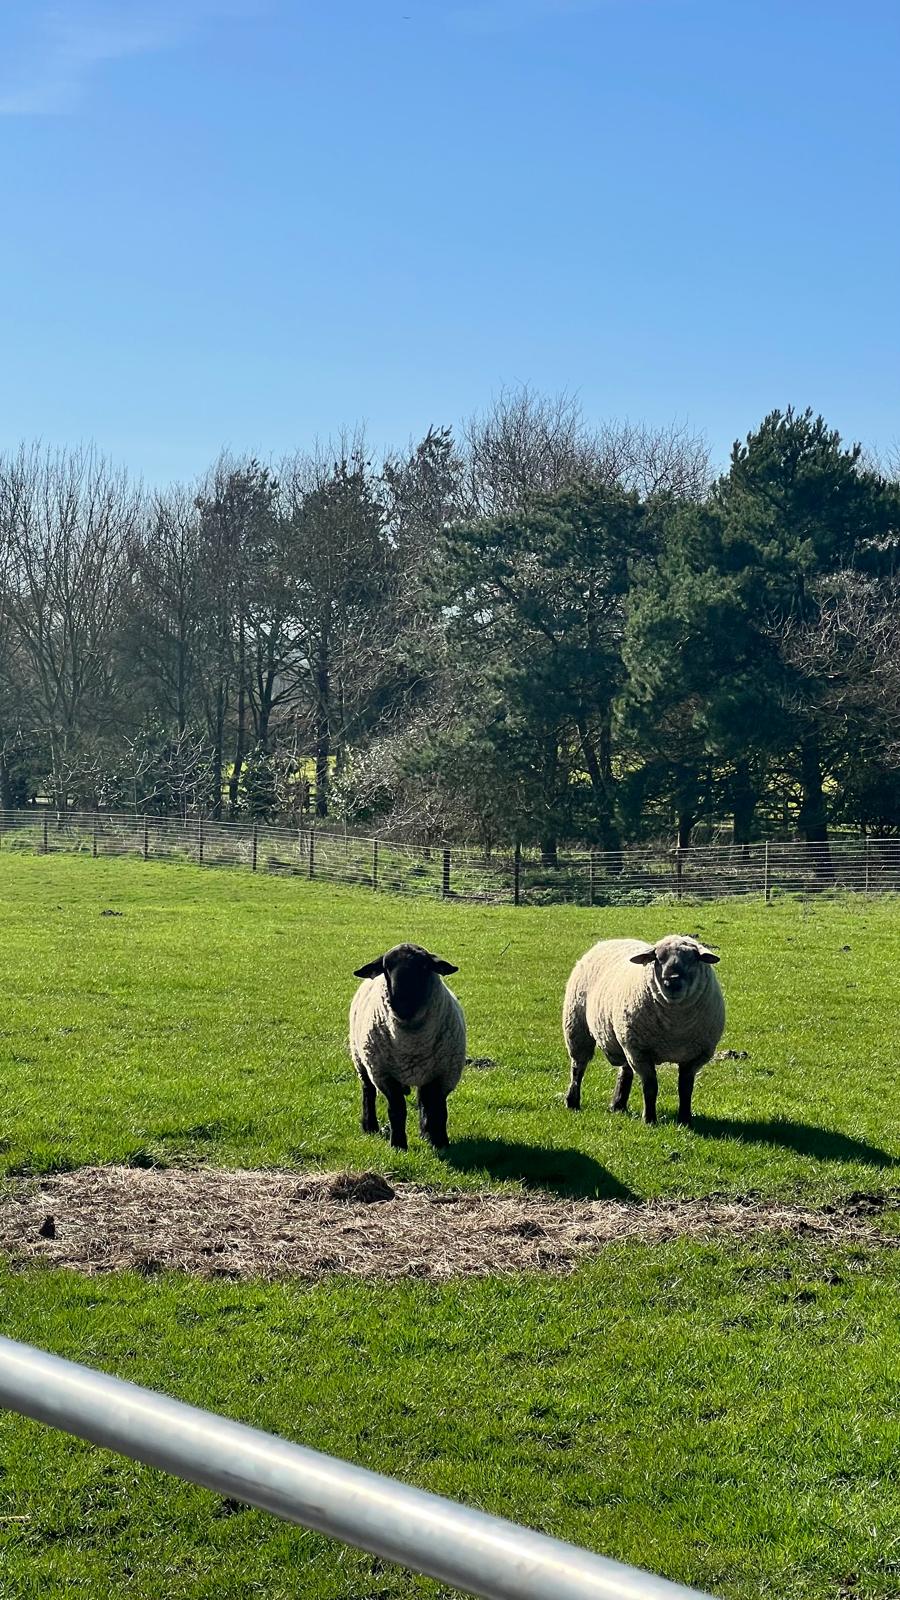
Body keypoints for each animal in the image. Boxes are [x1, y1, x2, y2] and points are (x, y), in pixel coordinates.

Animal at [349, 942, 466, 1150]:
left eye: (424, 966)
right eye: (386, 968)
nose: (401, 1001)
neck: (412, 1044)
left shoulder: (443, 1074)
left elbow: (438, 1110)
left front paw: (439, 1142)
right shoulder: (384, 1075)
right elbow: (397, 1110)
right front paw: (398, 1145)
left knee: (424, 1101)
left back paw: (425, 1132)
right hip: (361, 1059)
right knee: (368, 1091)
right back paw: (370, 1126)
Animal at [562, 934, 724, 1126]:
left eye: (693, 959)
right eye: (658, 959)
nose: (671, 982)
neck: (675, 1027)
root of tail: (611, 940)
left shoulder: (694, 1057)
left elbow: (685, 1089)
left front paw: (685, 1120)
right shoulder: (640, 1052)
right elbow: (650, 1086)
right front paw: (649, 1120)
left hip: (623, 1036)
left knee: (625, 1070)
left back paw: (618, 1105)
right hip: (577, 1026)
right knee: (578, 1067)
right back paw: (572, 1101)